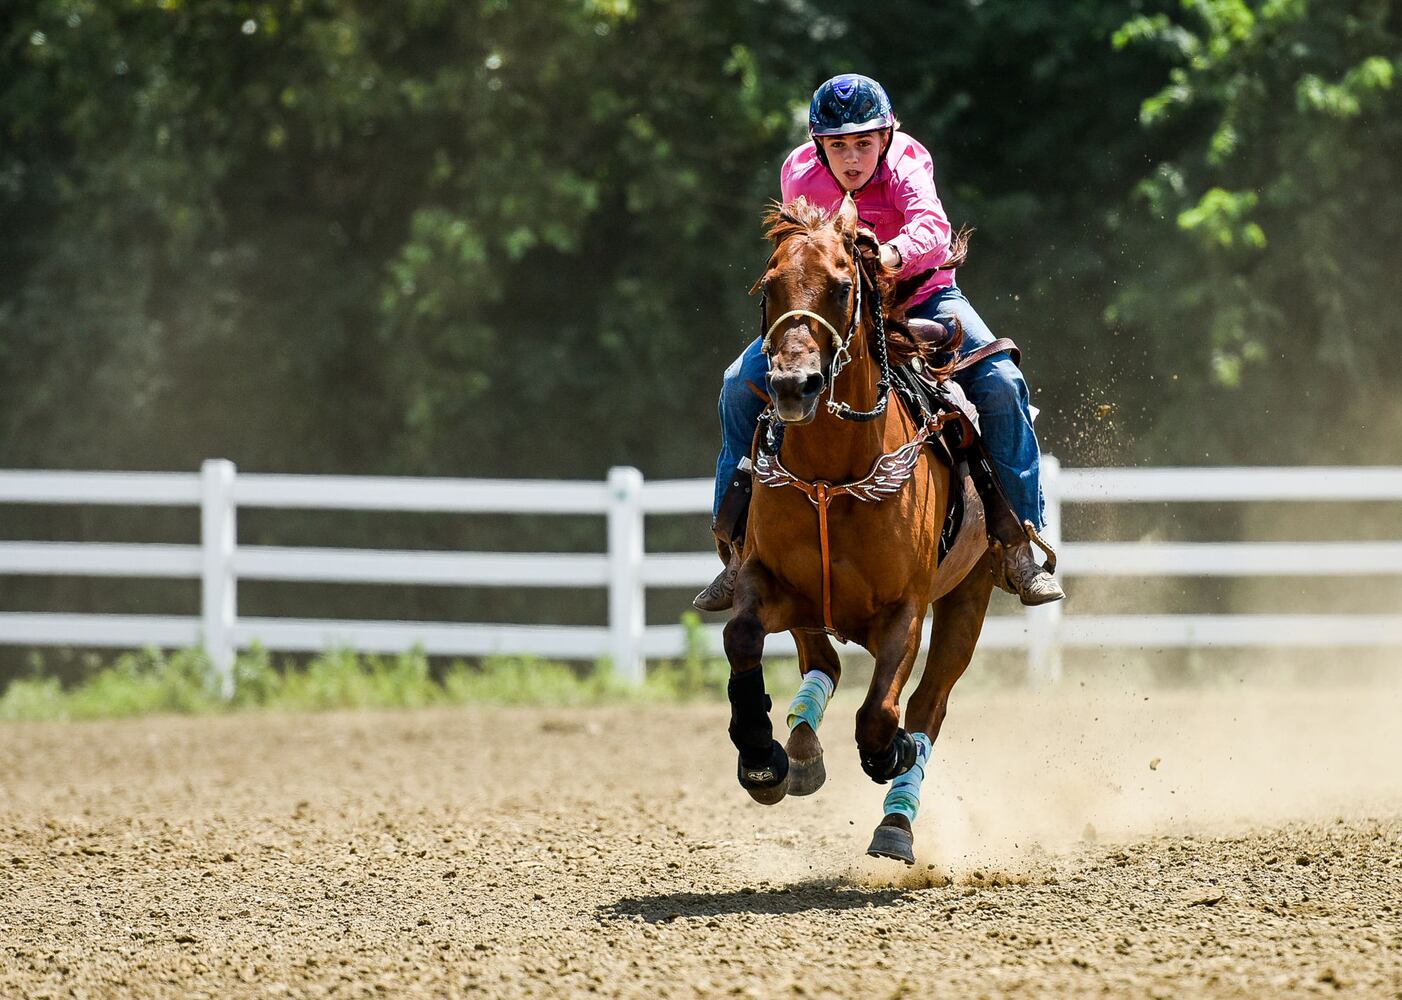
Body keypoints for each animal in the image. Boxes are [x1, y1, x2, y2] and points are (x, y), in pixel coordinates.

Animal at [723, 190, 998, 863]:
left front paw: (889, 753)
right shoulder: (767, 580)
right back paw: (799, 751)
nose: (793, 386)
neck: (832, 476)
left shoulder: (906, 609)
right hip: (809, 609)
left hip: (971, 595)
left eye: (843, 286)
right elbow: (741, 637)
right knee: (824, 663)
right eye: (770, 285)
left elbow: (880, 714)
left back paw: (896, 820)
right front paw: (761, 759)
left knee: (927, 705)